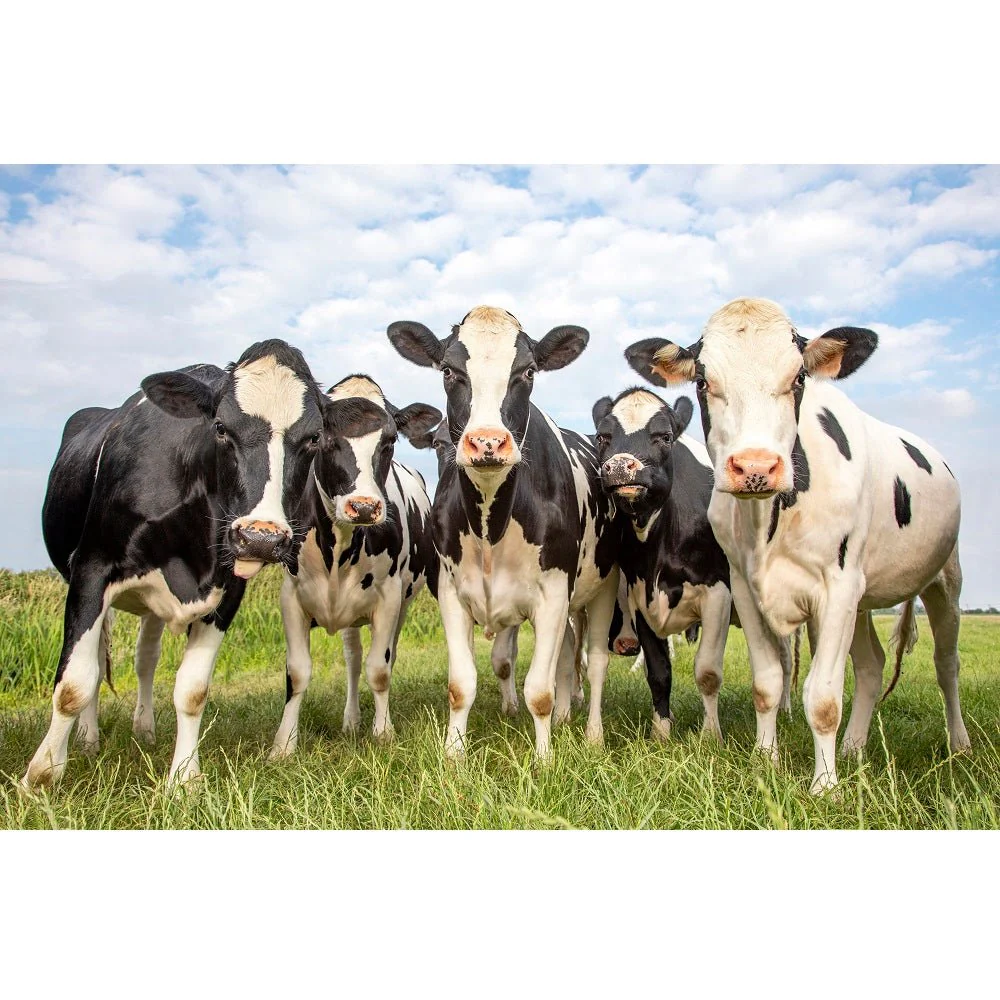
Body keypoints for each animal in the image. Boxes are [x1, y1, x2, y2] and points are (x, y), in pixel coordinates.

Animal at [23, 340, 327, 789]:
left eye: (313, 438)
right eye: (220, 427)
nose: (261, 537)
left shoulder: (227, 588)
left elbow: (193, 689)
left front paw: (183, 778)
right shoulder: (91, 569)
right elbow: (74, 683)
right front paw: (41, 775)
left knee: (144, 659)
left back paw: (145, 729)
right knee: (97, 660)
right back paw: (88, 740)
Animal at [270, 375, 441, 755]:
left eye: (390, 440)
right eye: (321, 437)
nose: (363, 507)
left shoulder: (390, 597)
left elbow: (380, 668)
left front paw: (384, 732)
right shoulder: (291, 596)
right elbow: (297, 672)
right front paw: (283, 745)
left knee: (380, 657)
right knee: (352, 659)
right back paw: (350, 720)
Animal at [387, 305, 620, 758]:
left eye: (527, 371)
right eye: (448, 370)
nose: (488, 443)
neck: (490, 526)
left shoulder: (554, 594)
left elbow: (540, 691)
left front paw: (545, 760)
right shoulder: (450, 592)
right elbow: (462, 685)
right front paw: (454, 755)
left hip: (604, 585)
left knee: (596, 661)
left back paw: (593, 734)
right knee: (568, 654)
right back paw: (566, 717)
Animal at [592, 388, 733, 740]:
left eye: (665, 436)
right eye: (602, 437)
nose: (619, 466)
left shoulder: (718, 592)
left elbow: (707, 671)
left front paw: (711, 736)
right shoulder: (641, 597)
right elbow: (658, 672)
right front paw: (661, 733)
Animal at [626, 297, 970, 792]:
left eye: (799, 378)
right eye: (704, 381)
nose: (755, 467)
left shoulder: (838, 587)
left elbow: (823, 699)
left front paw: (825, 787)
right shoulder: (744, 587)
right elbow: (767, 682)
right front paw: (764, 760)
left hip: (945, 581)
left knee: (947, 663)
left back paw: (958, 743)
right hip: (864, 599)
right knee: (872, 666)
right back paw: (853, 747)